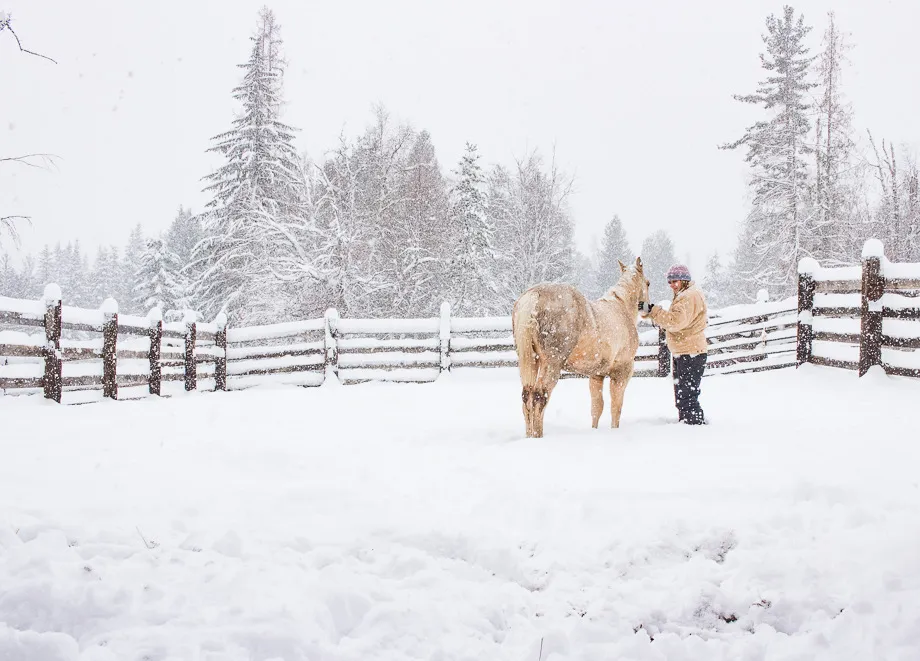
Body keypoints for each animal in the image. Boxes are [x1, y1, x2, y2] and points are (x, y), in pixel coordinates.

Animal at [511, 257, 651, 438]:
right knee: (539, 396)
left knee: (527, 396)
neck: (620, 308)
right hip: (551, 364)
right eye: (648, 283)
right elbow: (616, 406)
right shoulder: (622, 372)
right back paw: (538, 436)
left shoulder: (596, 375)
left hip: (532, 362)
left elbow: (597, 407)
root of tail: (534, 295)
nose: (648, 308)